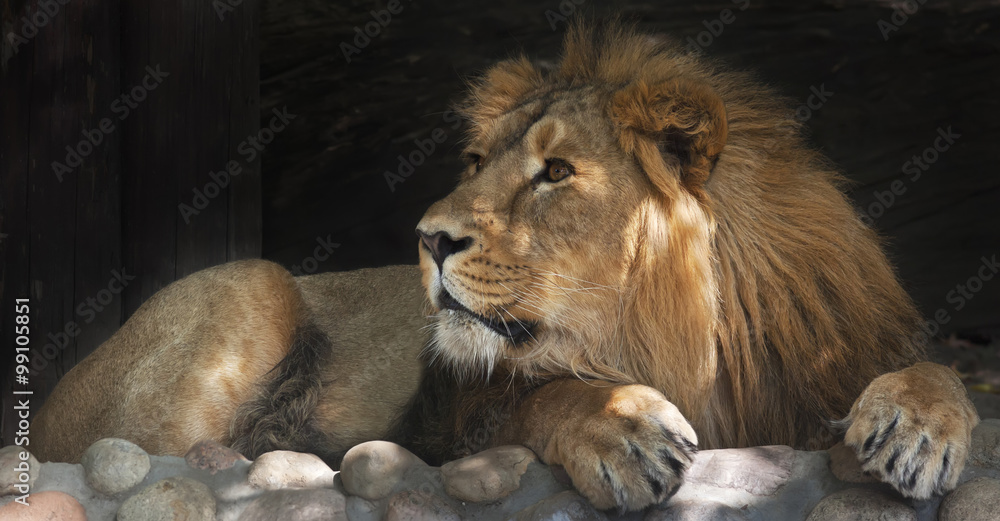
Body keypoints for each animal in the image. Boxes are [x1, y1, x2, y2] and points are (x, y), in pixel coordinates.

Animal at [33, 21, 978, 513]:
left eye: (555, 172)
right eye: (478, 159)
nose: (426, 237)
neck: (692, 341)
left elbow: (936, 365)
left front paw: (917, 426)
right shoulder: (456, 420)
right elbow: (544, 395)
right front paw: (621, 427)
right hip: (251, 284)